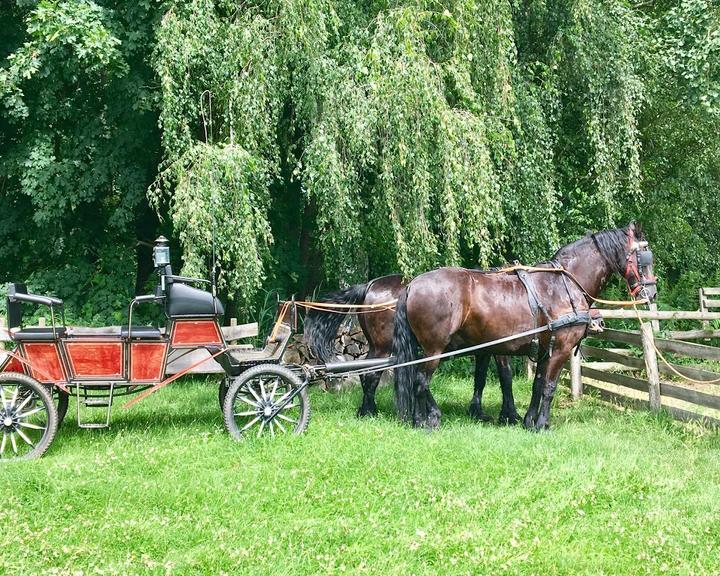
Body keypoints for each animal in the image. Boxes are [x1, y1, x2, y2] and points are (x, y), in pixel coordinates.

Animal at [300, 274, 520, 424]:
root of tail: (371, 285)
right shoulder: (498, 348)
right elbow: (505, 376)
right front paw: (510, 414)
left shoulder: (484, 349)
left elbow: (480, 378)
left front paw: (478, 411)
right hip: (386, 347)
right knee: (373, 375)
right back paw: (370, 411)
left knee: (367, 373)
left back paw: (369, 409)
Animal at [390, 223, 656, 430]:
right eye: (644, 258)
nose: (652, 293)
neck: (563, 284)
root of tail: (412, 284)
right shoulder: (561, 348)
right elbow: (549, 386)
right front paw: (542, 425)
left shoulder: (545, 350)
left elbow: (537, 385)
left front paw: (529, 421)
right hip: (435, 348)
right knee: (420, 381)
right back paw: (427, 420)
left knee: (415, 378)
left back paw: (421, 418)